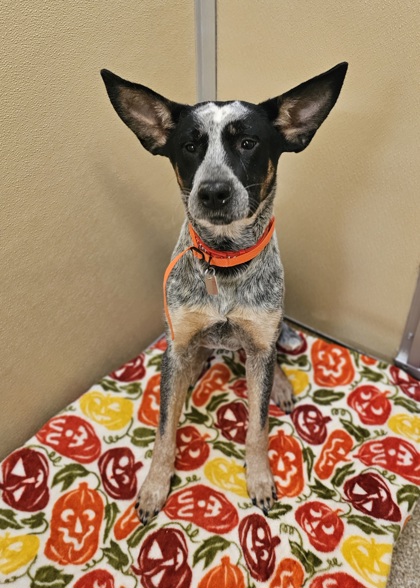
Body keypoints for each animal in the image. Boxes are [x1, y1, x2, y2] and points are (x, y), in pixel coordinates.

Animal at [101, 62, 348, 524]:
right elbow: (164, 428)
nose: (213, 191)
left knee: (271, 358)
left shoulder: (261, 338)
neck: (225, 262)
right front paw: (155, 486)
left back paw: (280, 384)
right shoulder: (175, 342)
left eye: (248, 143)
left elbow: (257, 426)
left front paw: (260, 477)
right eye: (190, 146)